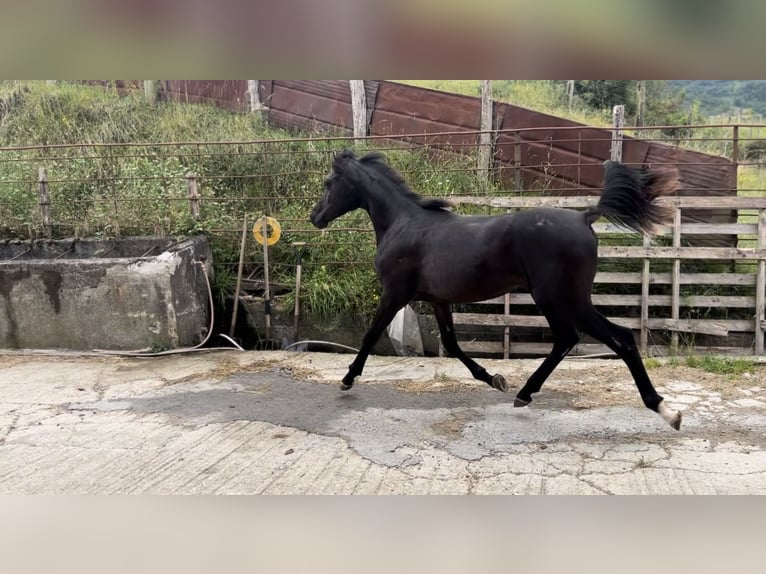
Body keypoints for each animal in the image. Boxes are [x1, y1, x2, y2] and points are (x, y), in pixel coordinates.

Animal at [312, 150, 684, 432]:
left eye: (329, 183)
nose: (315, 216)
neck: (404, 224)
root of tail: (584, 218)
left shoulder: (394, 293)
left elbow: (370, 335)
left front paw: (347, 379)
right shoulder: (439, 300)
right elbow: (451, 344)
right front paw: (494, 378)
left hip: (561, 299)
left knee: (617, 338)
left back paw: (666, 411)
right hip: (557, 300)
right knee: (568, 339)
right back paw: (524, 394)